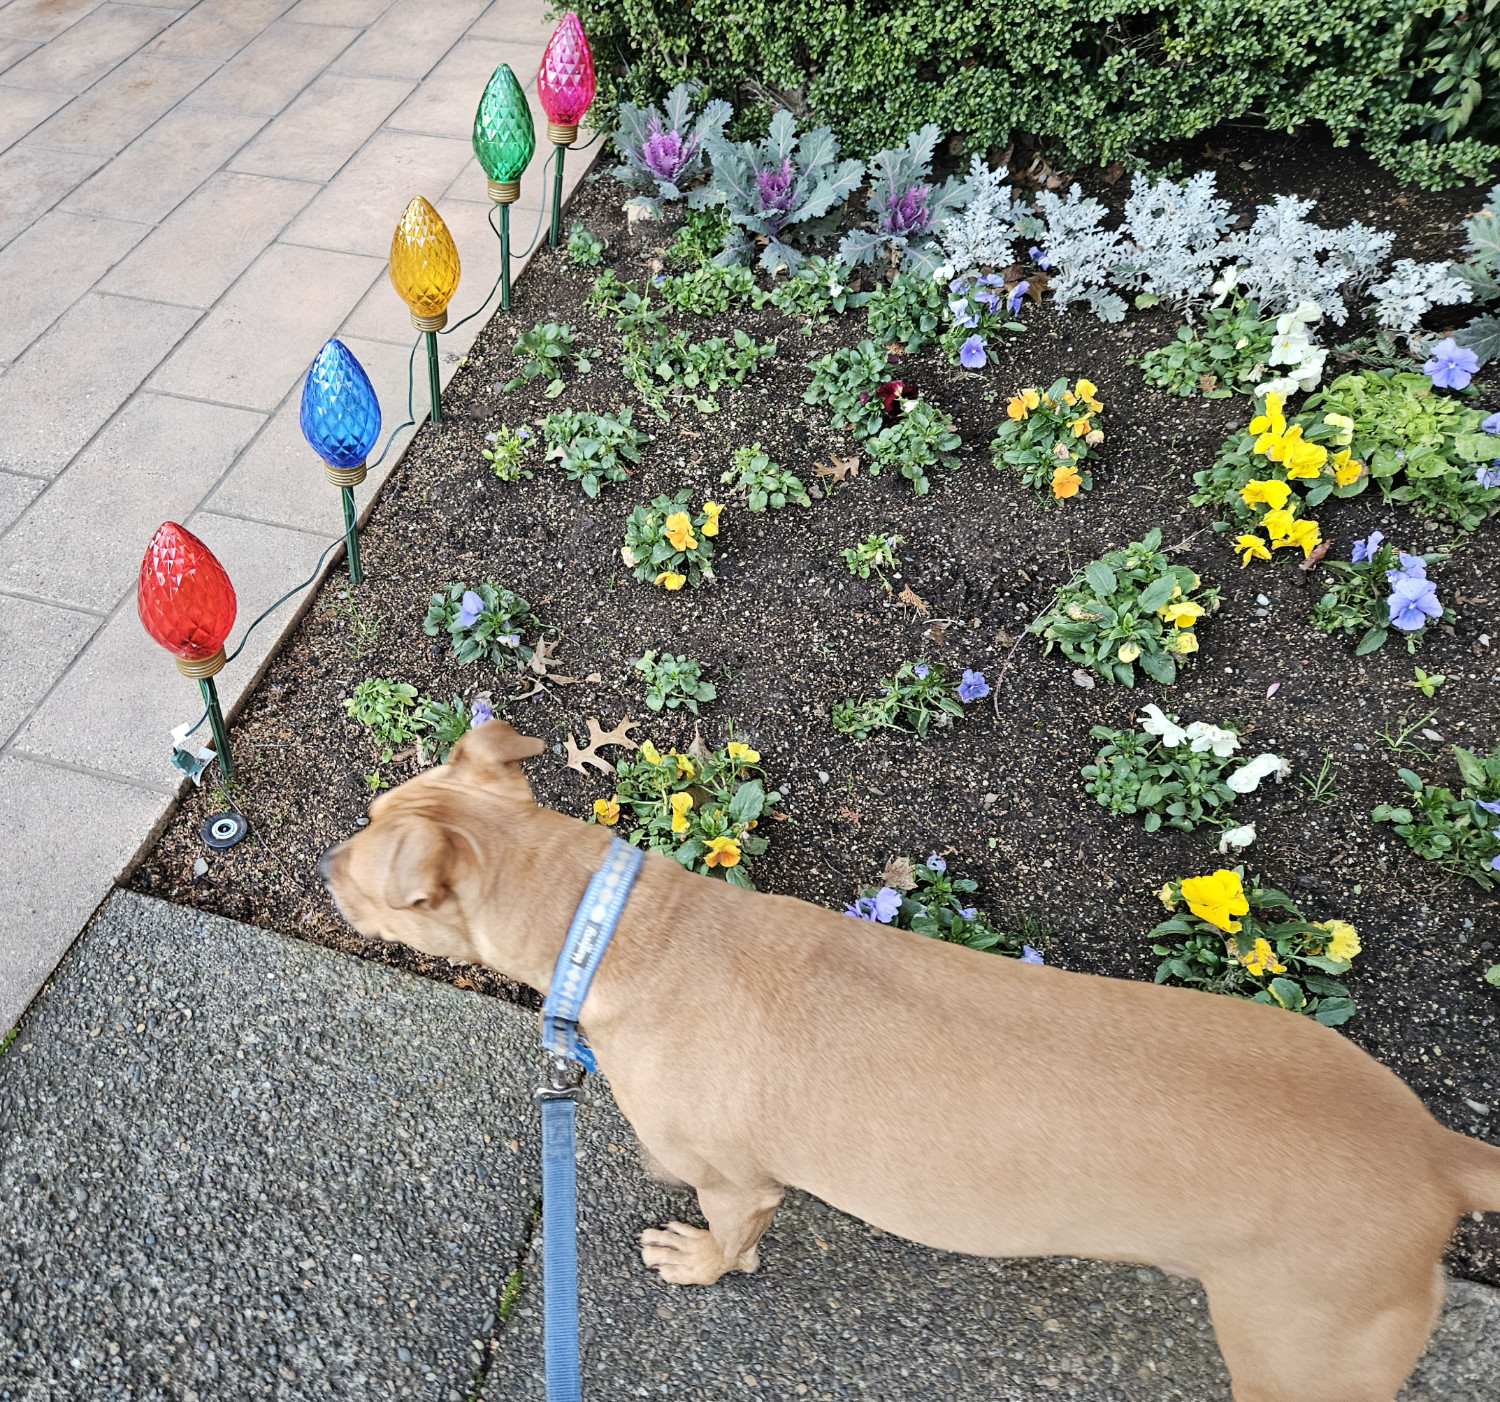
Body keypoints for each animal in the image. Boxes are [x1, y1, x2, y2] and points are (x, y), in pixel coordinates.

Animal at [322, 722, 1500, 1402]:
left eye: (370, 868)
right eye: (373, 808)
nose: (324, 859)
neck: (619, 923)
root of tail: (1433, 1150)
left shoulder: (737, 1181)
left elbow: (729, 1238)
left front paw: (702, 1267)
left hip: (1300, 1354)